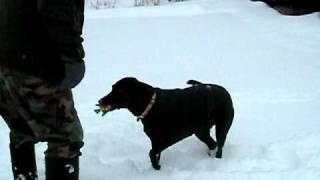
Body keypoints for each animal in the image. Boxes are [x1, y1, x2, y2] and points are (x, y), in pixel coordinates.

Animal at [96, 77, 234, 170]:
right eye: (113, 88)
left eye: (119, 90)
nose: (100, 101)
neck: (151, 105)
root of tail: (224, 90)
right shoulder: (155, 140)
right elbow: (154, 153)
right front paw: (156, 167)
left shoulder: (166, 140)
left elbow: (151, 153)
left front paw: (157, 167)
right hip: (201, 131)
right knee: (212, 143)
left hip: (221, 128)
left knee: (219, 145)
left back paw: (217, 160)